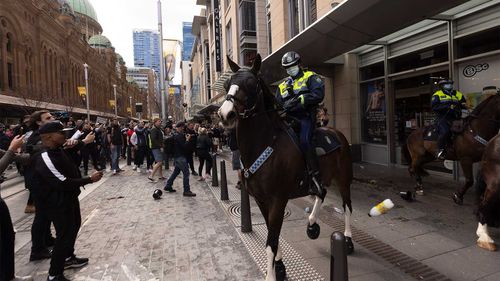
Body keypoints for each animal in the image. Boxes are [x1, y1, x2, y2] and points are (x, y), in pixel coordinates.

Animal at [217, 53, 354, 280]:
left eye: (251, 84)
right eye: (228, 84)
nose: (225, 114)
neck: (267, 144)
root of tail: (336, 133)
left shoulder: (278, 200)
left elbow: (271, 242)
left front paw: (271, 275)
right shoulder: (261, 200)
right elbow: (273, 235)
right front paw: (280, 267)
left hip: (343, 179)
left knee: (347, 206)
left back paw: (348, 239)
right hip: (323, 178)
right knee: (321, 192)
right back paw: (312, 224)